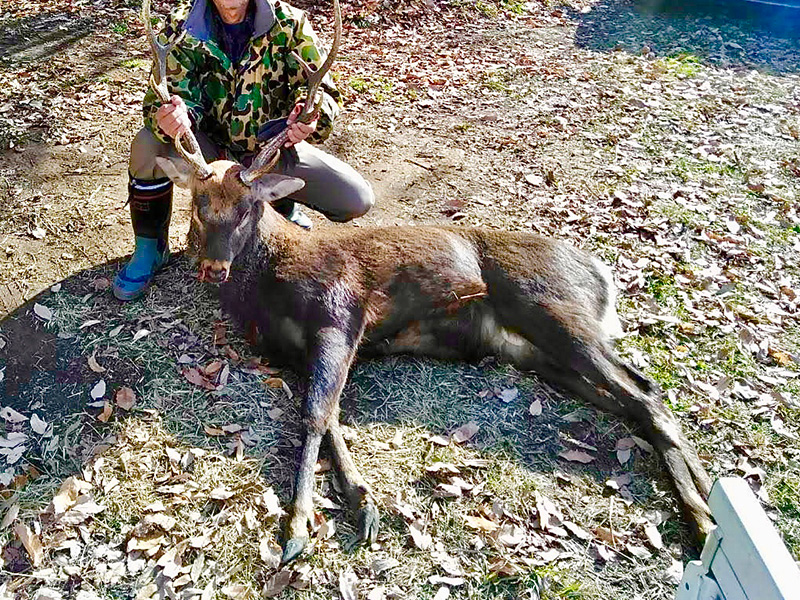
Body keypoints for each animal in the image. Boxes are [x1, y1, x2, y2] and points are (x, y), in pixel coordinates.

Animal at [144, 0, 712, 564]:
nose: (213, 268)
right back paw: (703, 504)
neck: (271, 285)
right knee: (635, 400)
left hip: (556, 310)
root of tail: (600, 274)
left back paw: (705, 518)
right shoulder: (295, 349)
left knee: (648, 397)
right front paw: (361, 499)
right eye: (199, 205)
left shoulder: (341, 311)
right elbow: (330, 415)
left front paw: (301, 525)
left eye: (248, 207)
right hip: (532, 349)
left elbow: (314, 416)